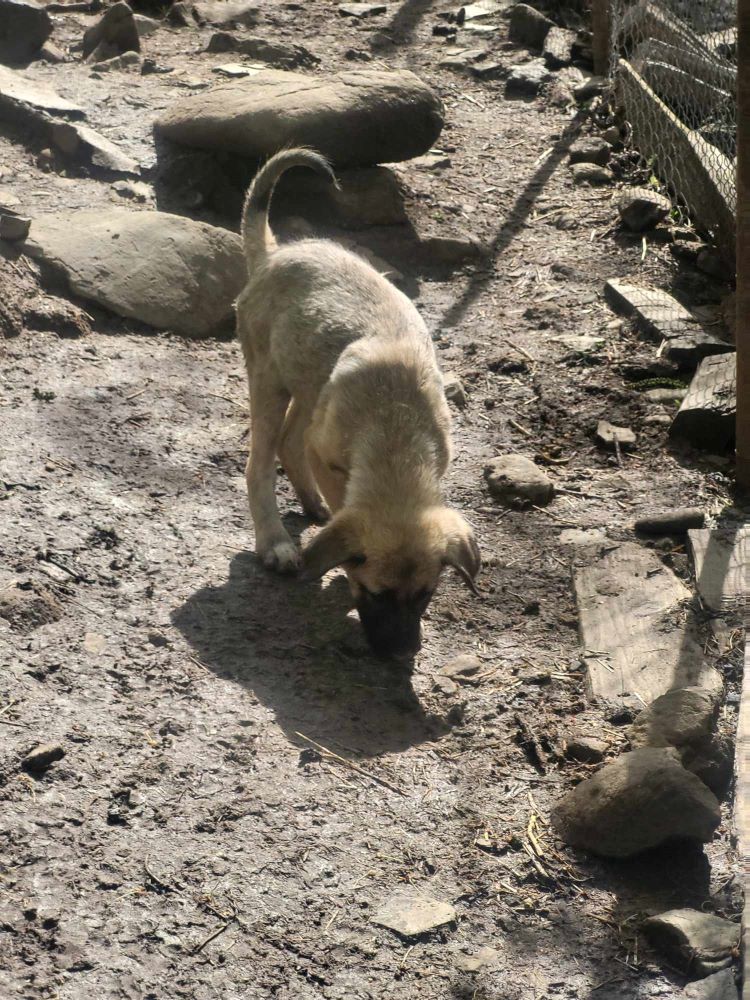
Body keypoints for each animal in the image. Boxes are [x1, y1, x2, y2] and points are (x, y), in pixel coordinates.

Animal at [236, 148, 482, 660]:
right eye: (376, 594)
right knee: (261, 462)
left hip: (308, 385)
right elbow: (340, 504)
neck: (397, 428)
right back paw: (275, 541)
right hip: (269, 381)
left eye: (425, 595)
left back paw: (309, 506)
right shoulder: (327, 455)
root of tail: (275, 253)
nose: (401, 654)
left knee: (289, 440)